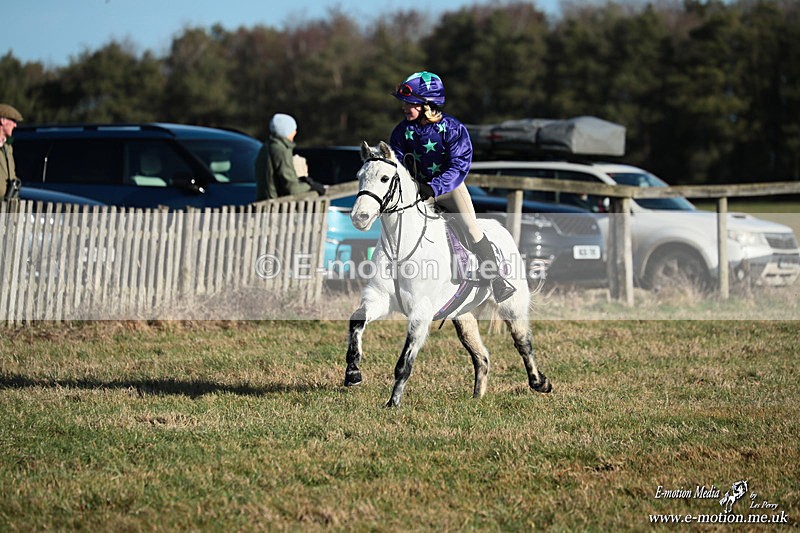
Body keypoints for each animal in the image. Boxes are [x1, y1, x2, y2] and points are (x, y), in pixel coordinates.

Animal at [344, 141, 552, 407]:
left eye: (384, 178)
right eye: (359, 176)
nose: (359, 217)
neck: (401, 246)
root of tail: (501, 229)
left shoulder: (420, 311)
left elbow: (404, 363)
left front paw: (393, 403)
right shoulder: (379, 298)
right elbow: (357, 321)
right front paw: (353, 372)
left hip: (512, 304)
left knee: (522, 342)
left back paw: (540, 383)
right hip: (462, 314)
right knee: (481, 356)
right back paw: (476, 399)